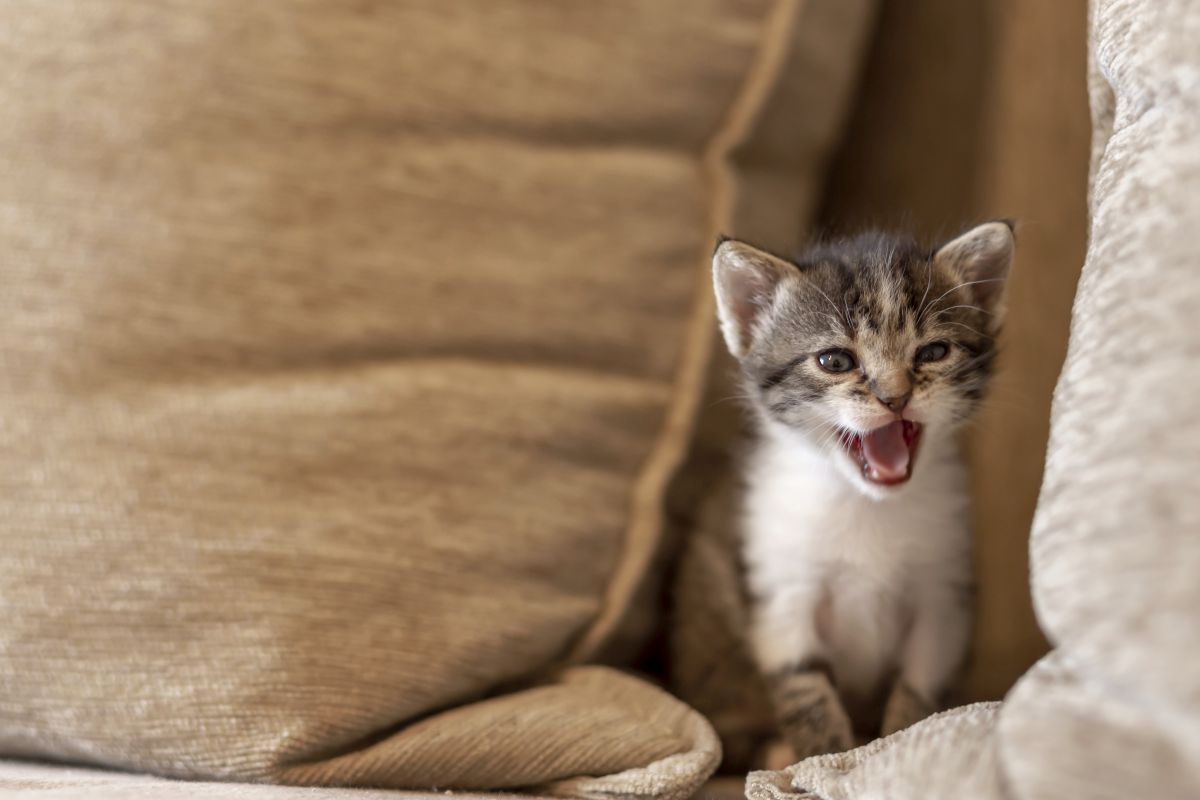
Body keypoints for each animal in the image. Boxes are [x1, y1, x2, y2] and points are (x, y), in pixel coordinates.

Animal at [710, 220, 1012, 758]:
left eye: (934, 352)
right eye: (835, 360)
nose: (895, 398)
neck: (865, 505)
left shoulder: (944, 591)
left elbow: (919, 687)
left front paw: (895, 742)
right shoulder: (780, 590)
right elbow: (804, 688)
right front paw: (822, 755)